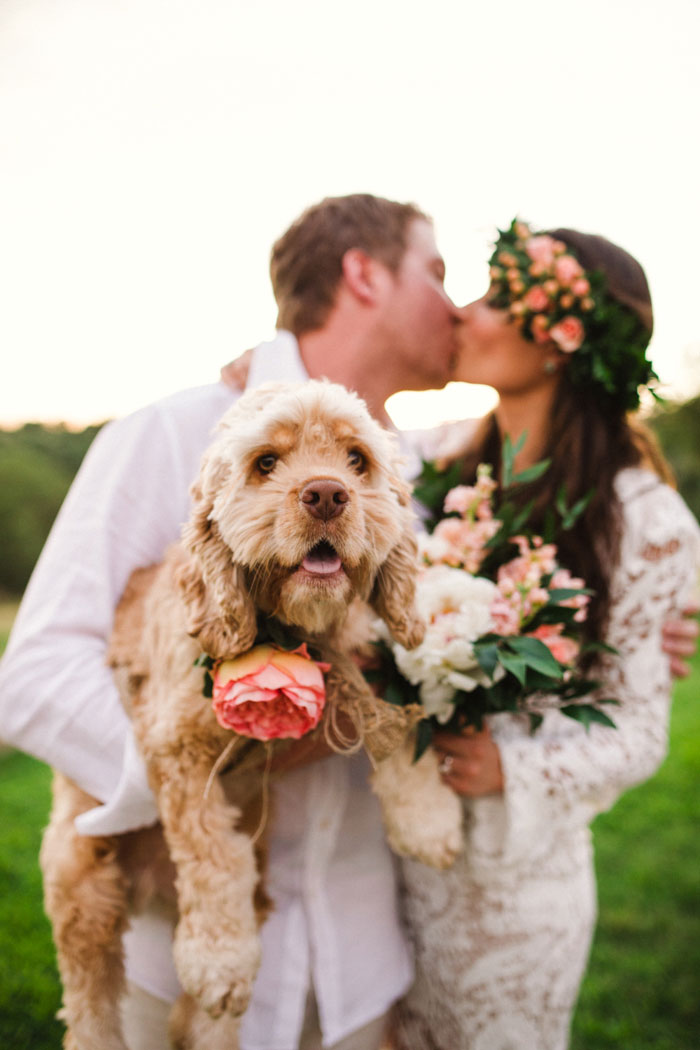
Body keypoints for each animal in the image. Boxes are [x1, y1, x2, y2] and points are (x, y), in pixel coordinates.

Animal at [41, 380, 461, 1050]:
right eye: (266, 463)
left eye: (357, 460)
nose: (326, 494)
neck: (298, 632)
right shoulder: (176, 749)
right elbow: (211, 855)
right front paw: (219, 957)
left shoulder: (362, 668)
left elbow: (395, 732)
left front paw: (428, 820)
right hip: (81, 878)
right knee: (90, 998)